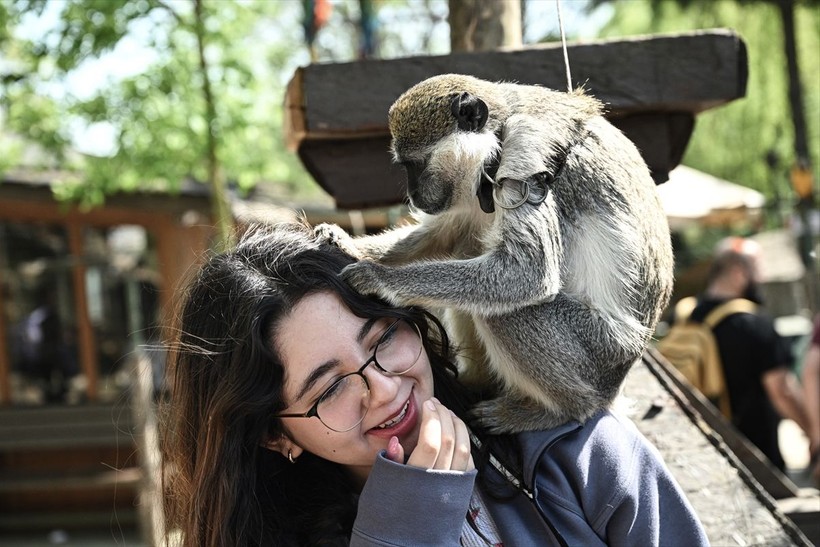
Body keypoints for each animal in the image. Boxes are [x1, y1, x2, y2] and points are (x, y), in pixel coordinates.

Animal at [314, 73, 672, 434]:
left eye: (414, 165)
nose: (413, 195)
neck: (497, 135)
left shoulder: (525, 147)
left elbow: (528, 272)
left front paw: (379, 277)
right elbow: (446, 233)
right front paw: (346, 243)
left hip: (599, 351)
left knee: (505, 313)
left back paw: (562, 410)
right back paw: (473, 381)